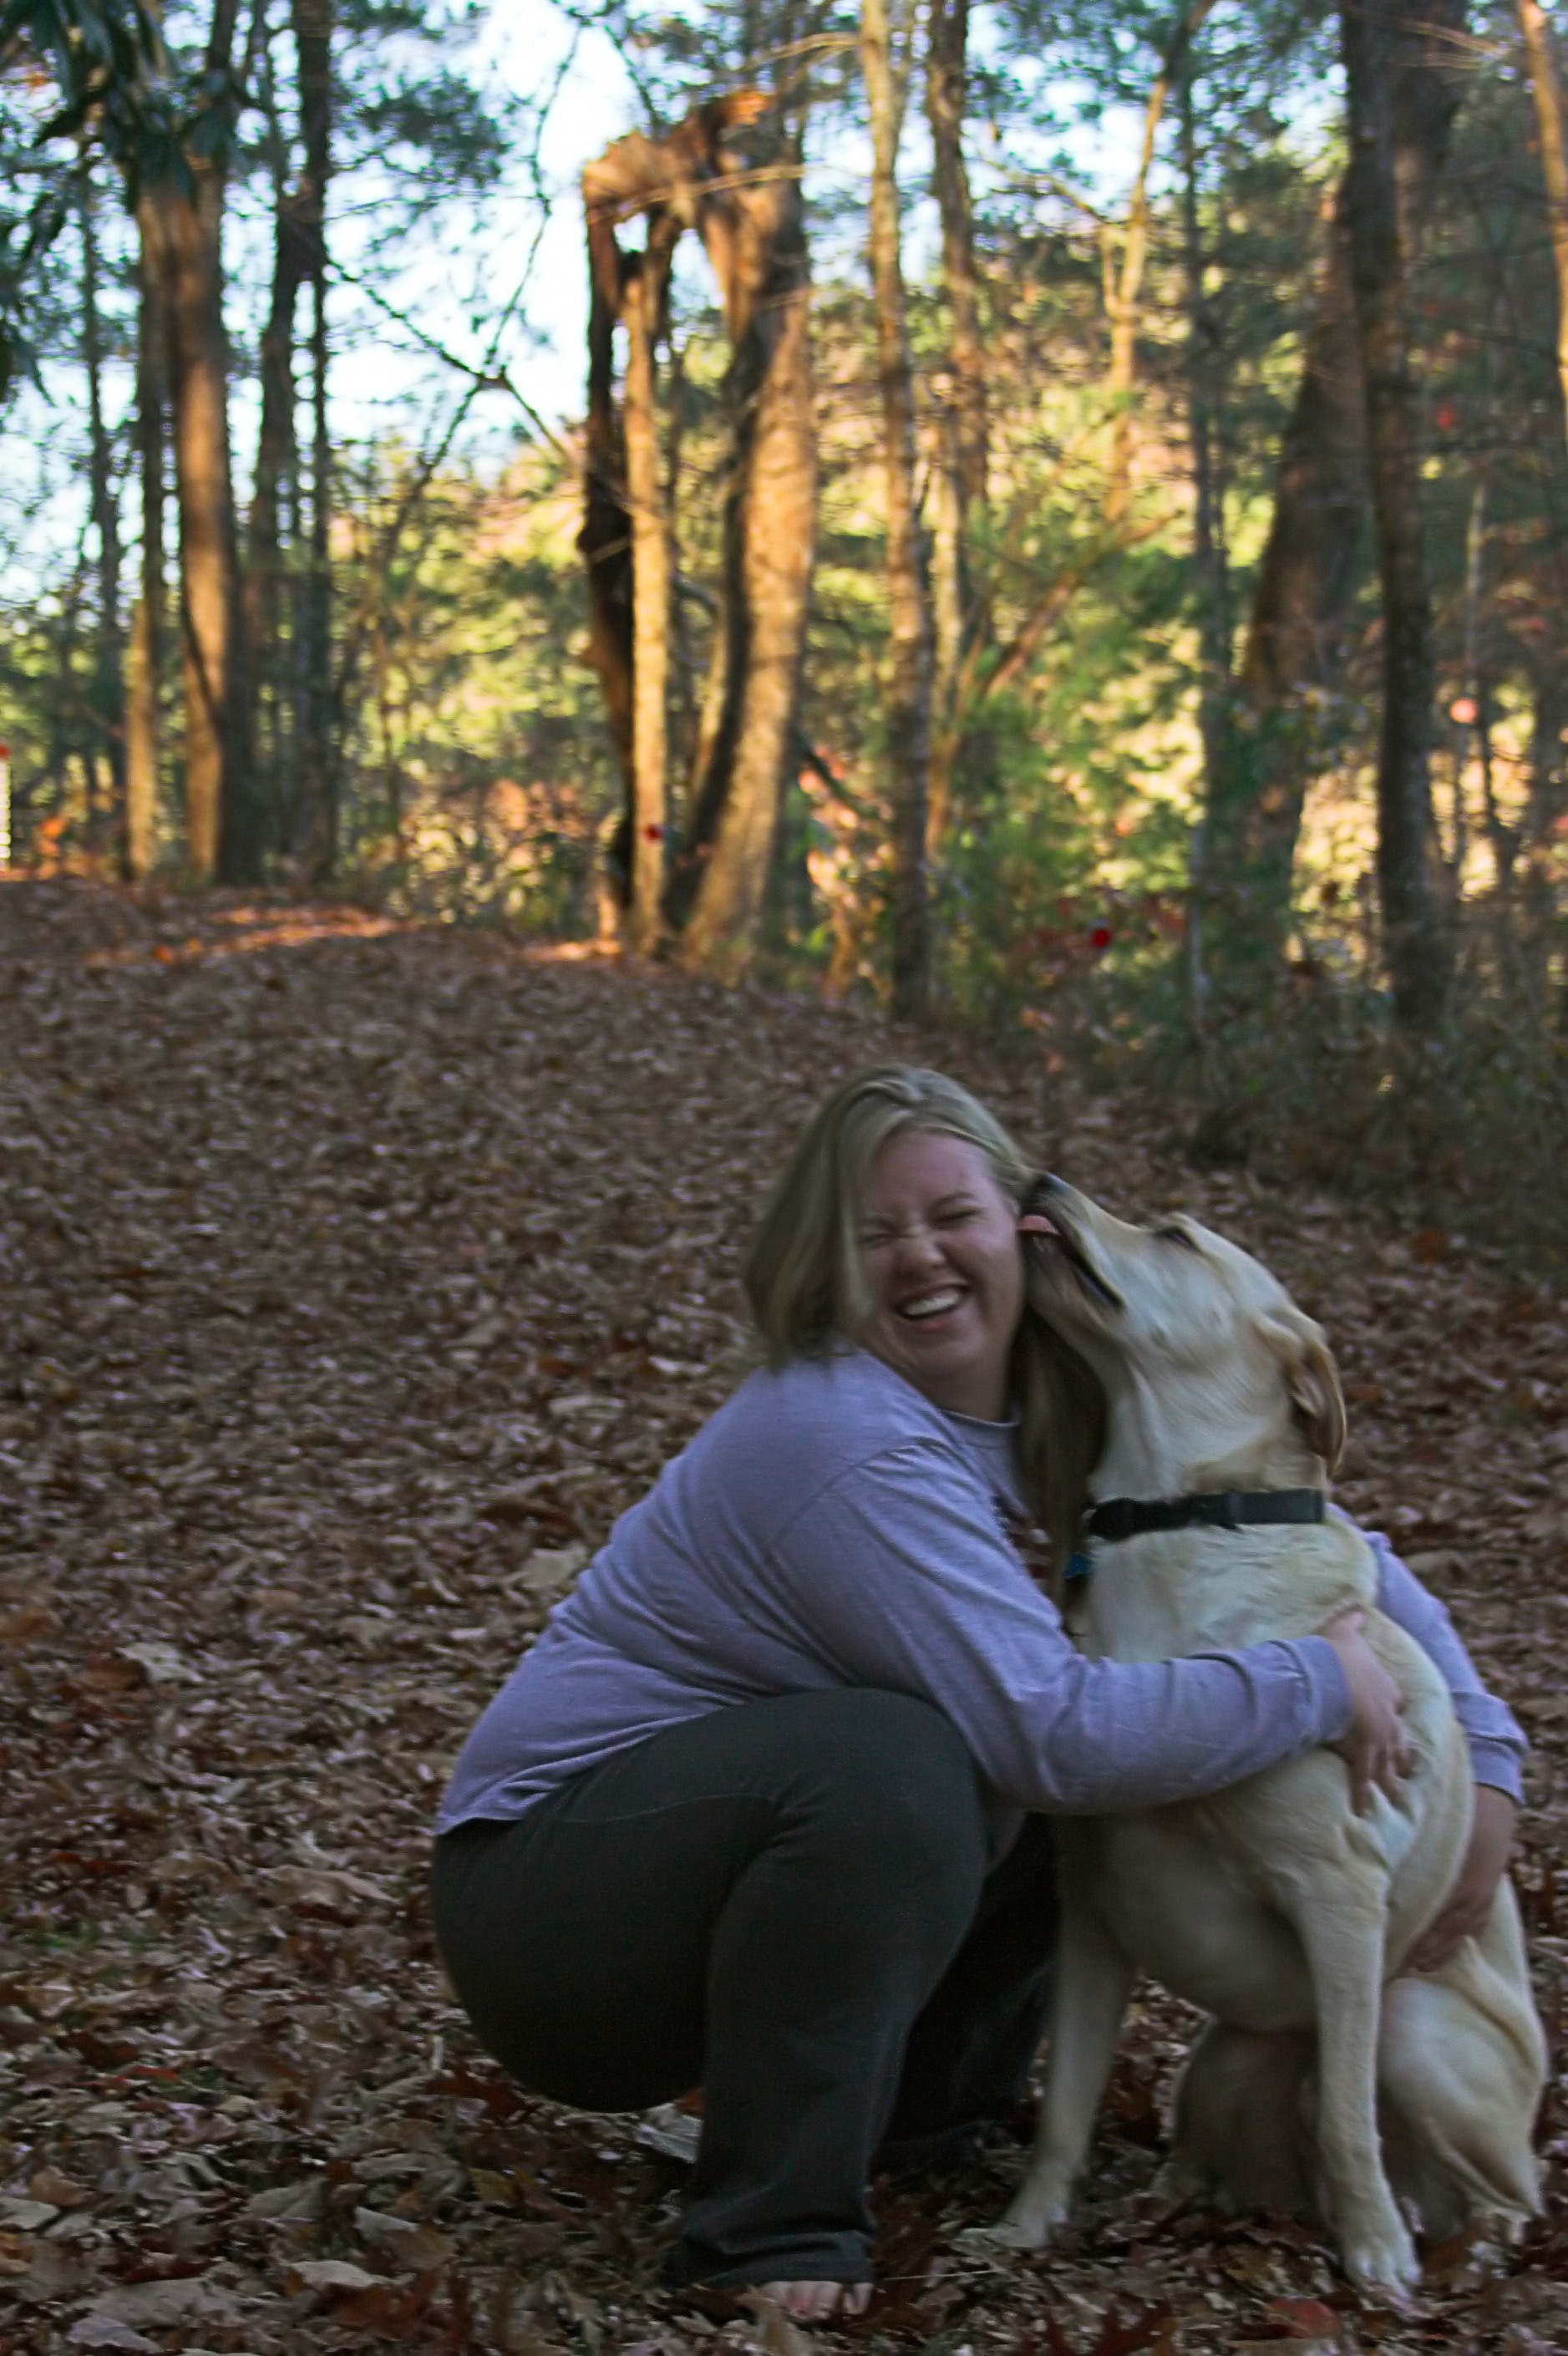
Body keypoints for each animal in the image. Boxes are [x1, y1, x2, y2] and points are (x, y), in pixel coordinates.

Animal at [988, 1178, 1535, 2299]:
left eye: (1173, 1236)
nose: (1038, 1183)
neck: (1176, 1523)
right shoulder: (1089, 1906)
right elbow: (1065, 2100)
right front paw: (1025, 2228)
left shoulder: (1338, 1892)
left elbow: (1345, 2118)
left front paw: (1375, 2258)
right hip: (1221, 2061)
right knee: (1214, 2146)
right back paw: (1173, 2204)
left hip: (1409, 2029)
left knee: (1479, 2180)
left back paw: (1447, 2242)